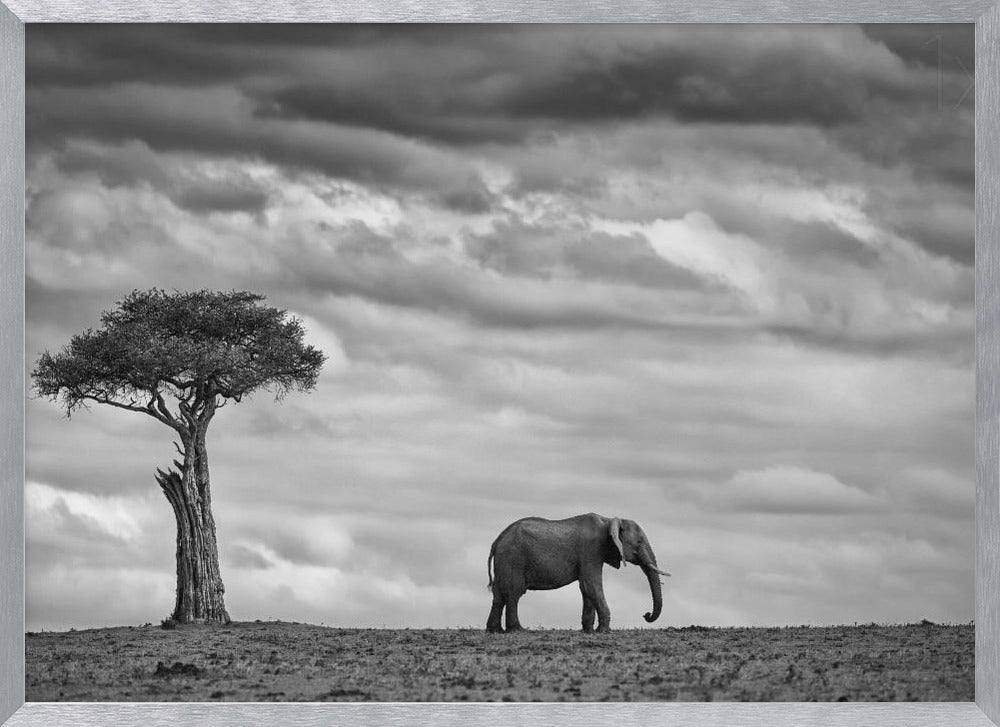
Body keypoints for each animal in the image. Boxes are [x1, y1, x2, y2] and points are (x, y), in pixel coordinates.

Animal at [486, 513, 670, 633]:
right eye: (639, 542)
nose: (646, 614)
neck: (608, 521)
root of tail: (496, 541)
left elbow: (586, 588)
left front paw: (588, 631)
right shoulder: (591, 549)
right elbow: (591, 585)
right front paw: (604, 631)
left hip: (504, 561)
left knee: (499, 596)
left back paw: (494, 630)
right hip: (513, 558)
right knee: (514, 593)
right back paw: (518, 630)